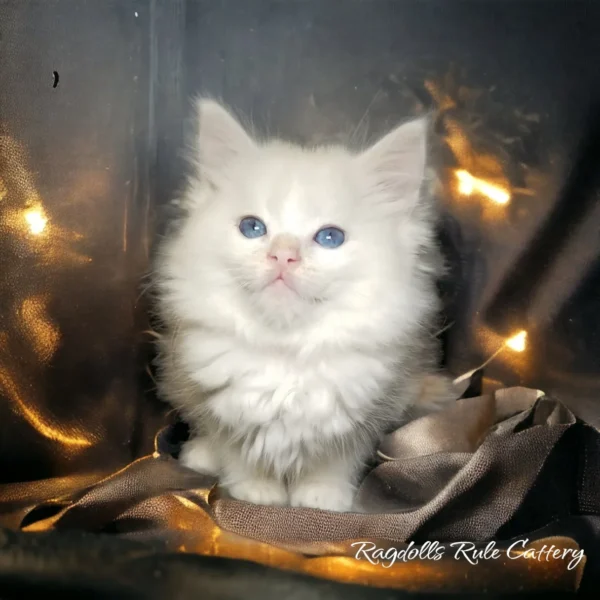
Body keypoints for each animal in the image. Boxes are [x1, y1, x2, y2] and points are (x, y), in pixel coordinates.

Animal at [155, 98, 442, 510]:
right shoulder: (218, 405)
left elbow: (336, 460)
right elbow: (236, 452)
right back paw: (201, 455)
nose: (283, 256)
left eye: (330, 237)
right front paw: (256, 491)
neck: (286, 351)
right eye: (253, 228)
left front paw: (322, 496)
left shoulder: (366, 413)